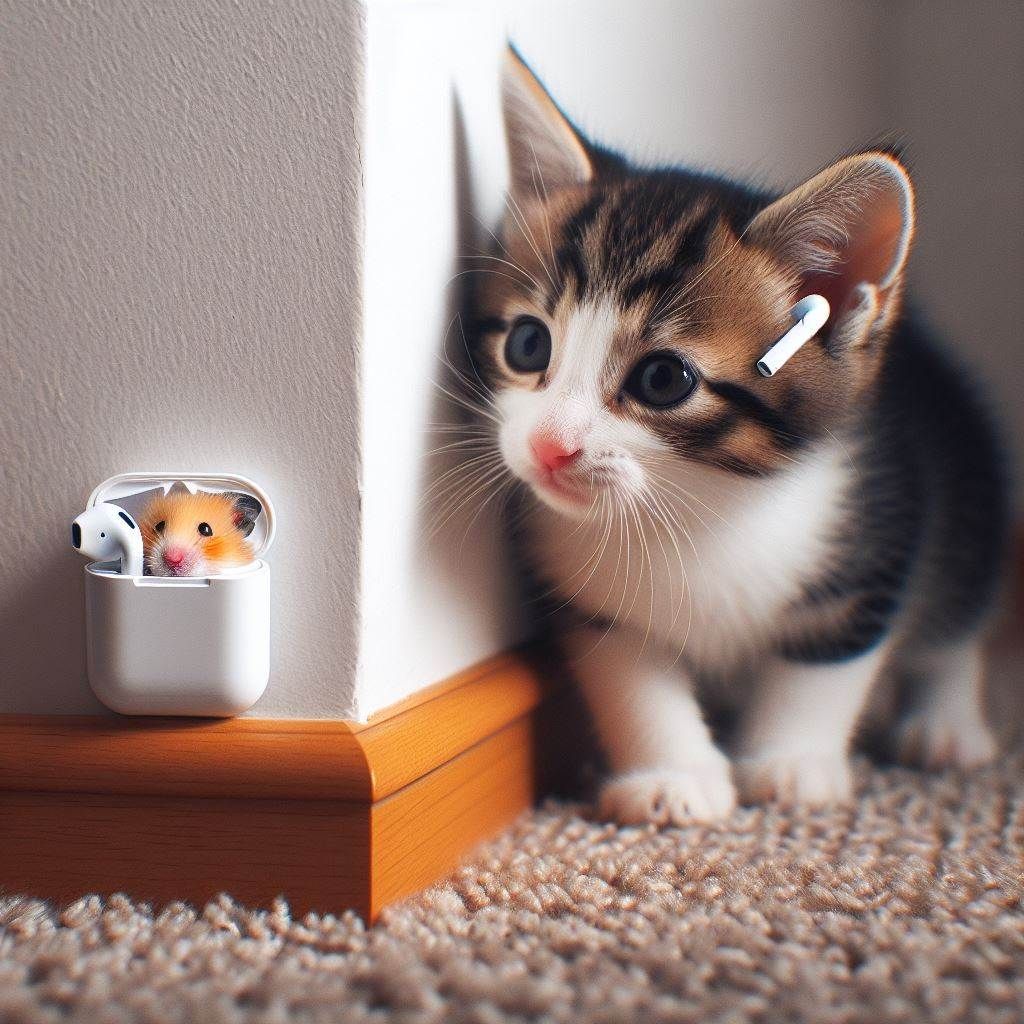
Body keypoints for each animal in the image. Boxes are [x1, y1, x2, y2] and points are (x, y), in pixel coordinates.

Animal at [464, 48, 1007, 823]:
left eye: (664, 380)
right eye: (528, 344)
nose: (548, 445)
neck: (702, 507)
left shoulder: (876, 535)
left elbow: (825, 664)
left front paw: (789, 762)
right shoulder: (592, 602)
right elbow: (633, 680)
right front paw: (674, 775)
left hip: (964, 477)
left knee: (956, 618)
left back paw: (946, 723)